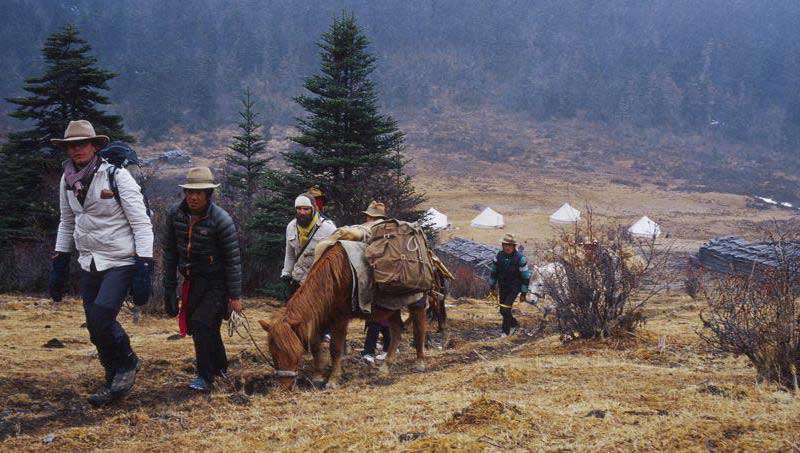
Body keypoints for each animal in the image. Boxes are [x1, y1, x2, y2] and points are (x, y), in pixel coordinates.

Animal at [260, 244, 428, 388]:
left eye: (293, 352)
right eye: (273, 353)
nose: (285, 386)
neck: (334, 279)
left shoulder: (340, 319)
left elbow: (335, 348)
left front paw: (333, 379)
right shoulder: (319, 318)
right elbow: (315, 346)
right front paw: (318, 376)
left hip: (416, 301)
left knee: (419, 329)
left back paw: (419, 362)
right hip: (390, 308)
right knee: (397, 330)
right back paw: (385, 366)